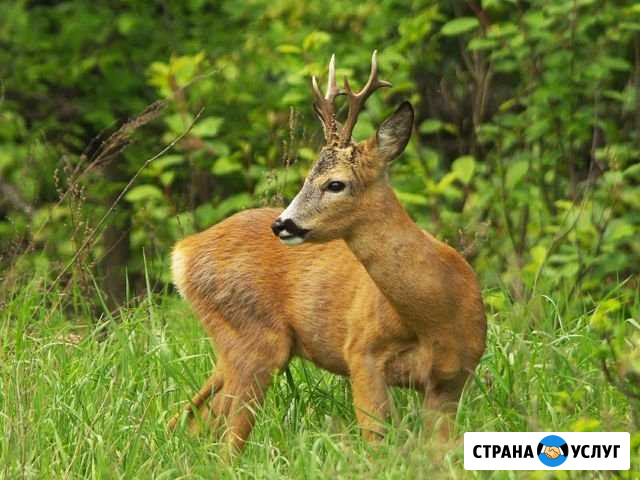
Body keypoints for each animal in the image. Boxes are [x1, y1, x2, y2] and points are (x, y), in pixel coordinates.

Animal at [168, 50, 488, 452]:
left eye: (335, 184)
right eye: (306, 178)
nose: (283, 224)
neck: (435, 314)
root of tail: (183, 252)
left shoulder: (452, 380)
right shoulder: (361, 355)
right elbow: (376, 441)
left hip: (232, 345)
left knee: (199, 420)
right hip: (252, 336)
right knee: (226, 435)